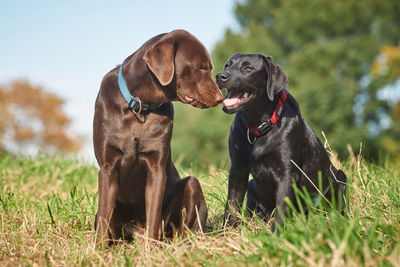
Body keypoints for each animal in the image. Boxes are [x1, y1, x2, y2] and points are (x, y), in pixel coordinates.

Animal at [216, 53, 346, 233]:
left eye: (248, 68)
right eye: (227, 65)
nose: (220, 76)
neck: (258, 127)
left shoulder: (287, 173)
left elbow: (281, 209)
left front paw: (275, 235)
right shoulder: (237, 169)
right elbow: (231, 208)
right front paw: (224, 235)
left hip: (340, 177)